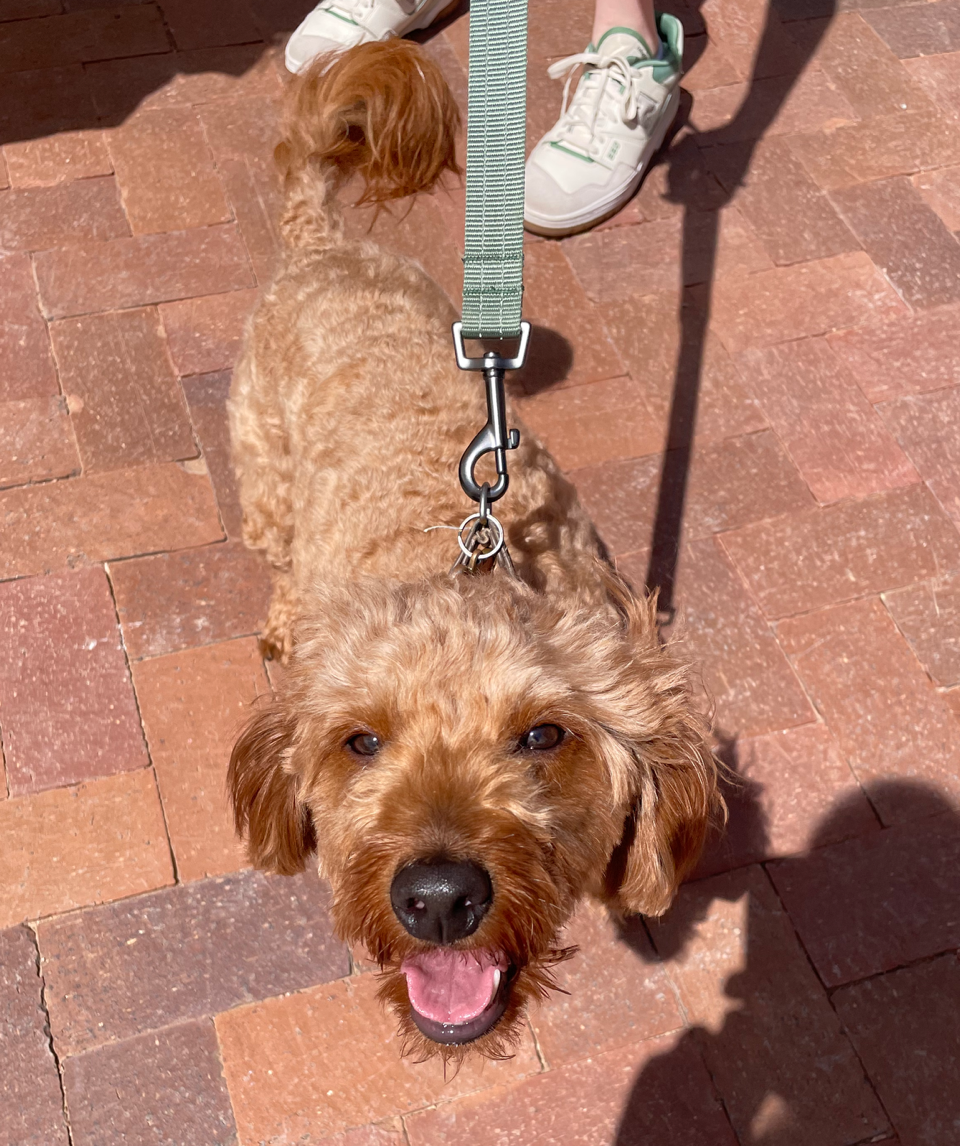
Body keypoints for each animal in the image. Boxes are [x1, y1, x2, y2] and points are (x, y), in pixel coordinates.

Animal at [227, 39, 720, 1062]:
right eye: (360, 742)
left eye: (543, 735)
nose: (439, 899)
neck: (470, 555)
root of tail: (322, 243)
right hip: (263, 470)